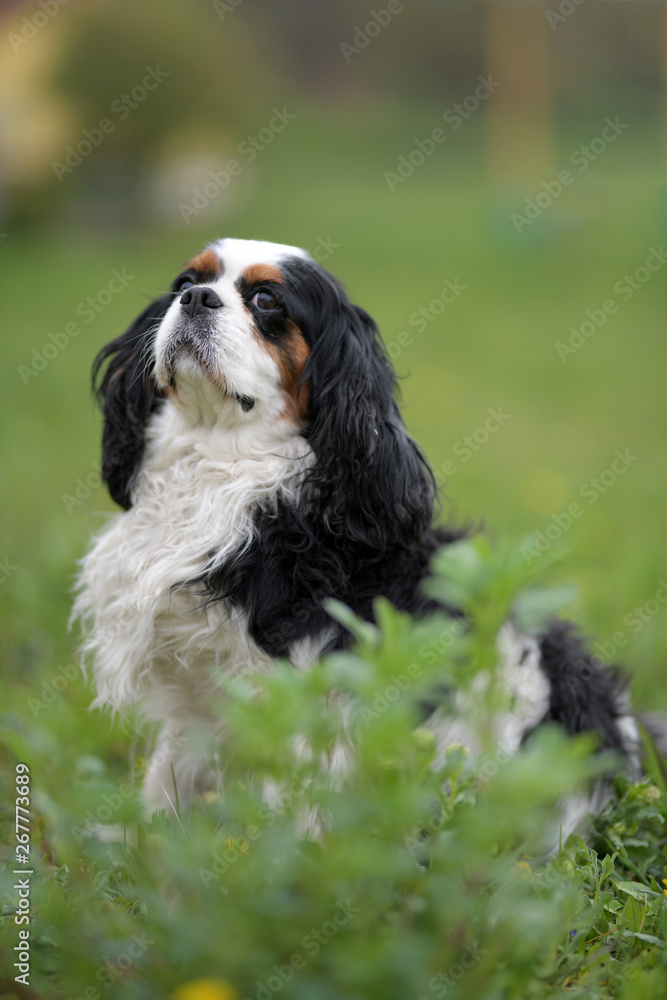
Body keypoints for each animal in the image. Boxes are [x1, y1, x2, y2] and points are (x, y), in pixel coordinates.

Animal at [73, 238, 652, 824]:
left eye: (266, 300)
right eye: (186, 282)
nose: (196, 299)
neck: (219, 466)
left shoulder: (295, 706)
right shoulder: (193, 713)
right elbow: (167, 789)